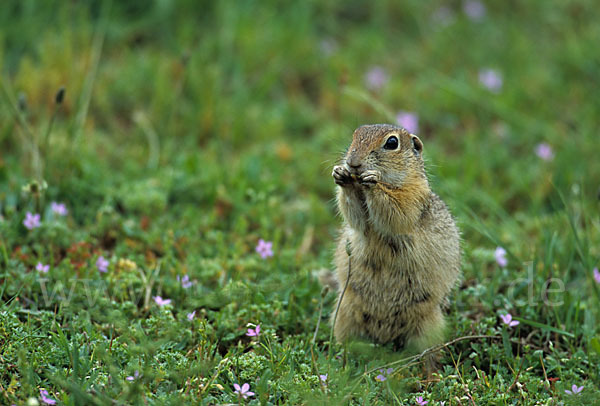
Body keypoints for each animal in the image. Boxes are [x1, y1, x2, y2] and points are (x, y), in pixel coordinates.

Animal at [330, 123, 462, 352]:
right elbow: (356, 217)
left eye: (392, 143)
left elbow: (397, 211)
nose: (353, 163)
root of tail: (384, 336)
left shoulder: (413, 196)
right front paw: (341, 175)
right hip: (343, 313)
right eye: (355, 134)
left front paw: (372, 181)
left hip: (430, 324)